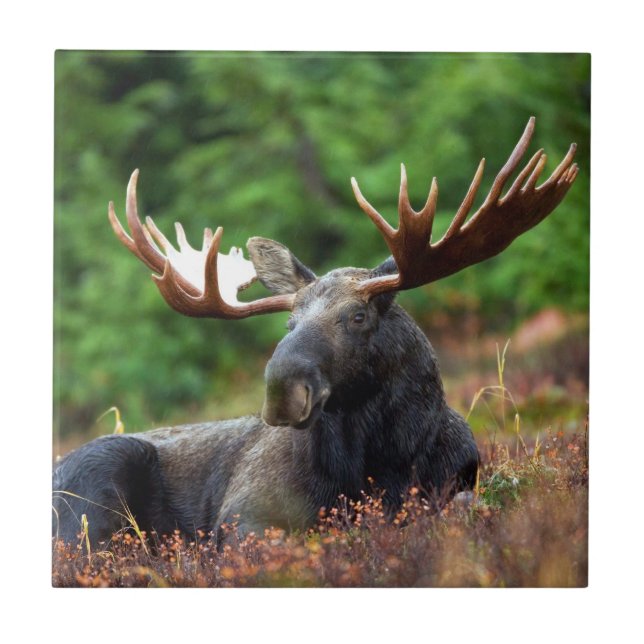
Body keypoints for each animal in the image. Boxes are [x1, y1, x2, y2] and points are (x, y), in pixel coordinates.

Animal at [52, 117, 578, 546]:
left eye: (358, 316)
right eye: (290, 321)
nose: (281, 390)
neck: (381, 465)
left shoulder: (458, 483)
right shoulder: (243, 512)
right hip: (97, 481)